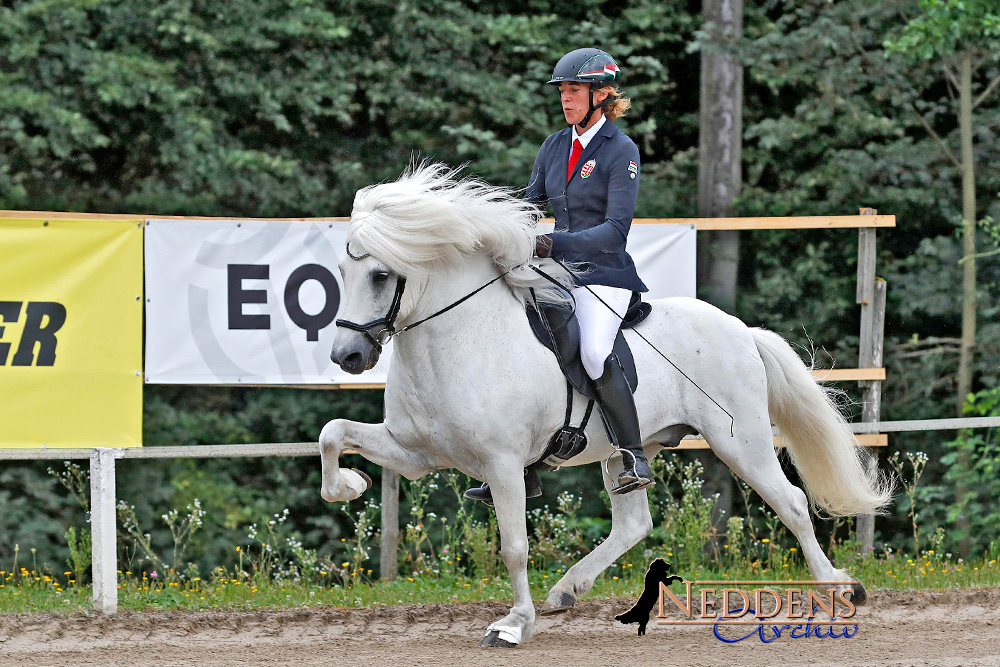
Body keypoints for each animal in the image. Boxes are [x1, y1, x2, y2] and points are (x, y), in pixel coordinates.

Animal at [316, 162, 896, 648]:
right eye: (343, 272)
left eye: (381, 275)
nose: (347, 356)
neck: (459, 339)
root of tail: (740, 330)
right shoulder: (415, 452)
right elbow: (332, 432)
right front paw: (349, 486)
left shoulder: (502, 464)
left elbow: (514, 546)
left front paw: (513, 624)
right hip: (629, 450)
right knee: (634, 522)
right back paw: (567, 591)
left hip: (741, 441)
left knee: (792, 503)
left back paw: (838, 588)